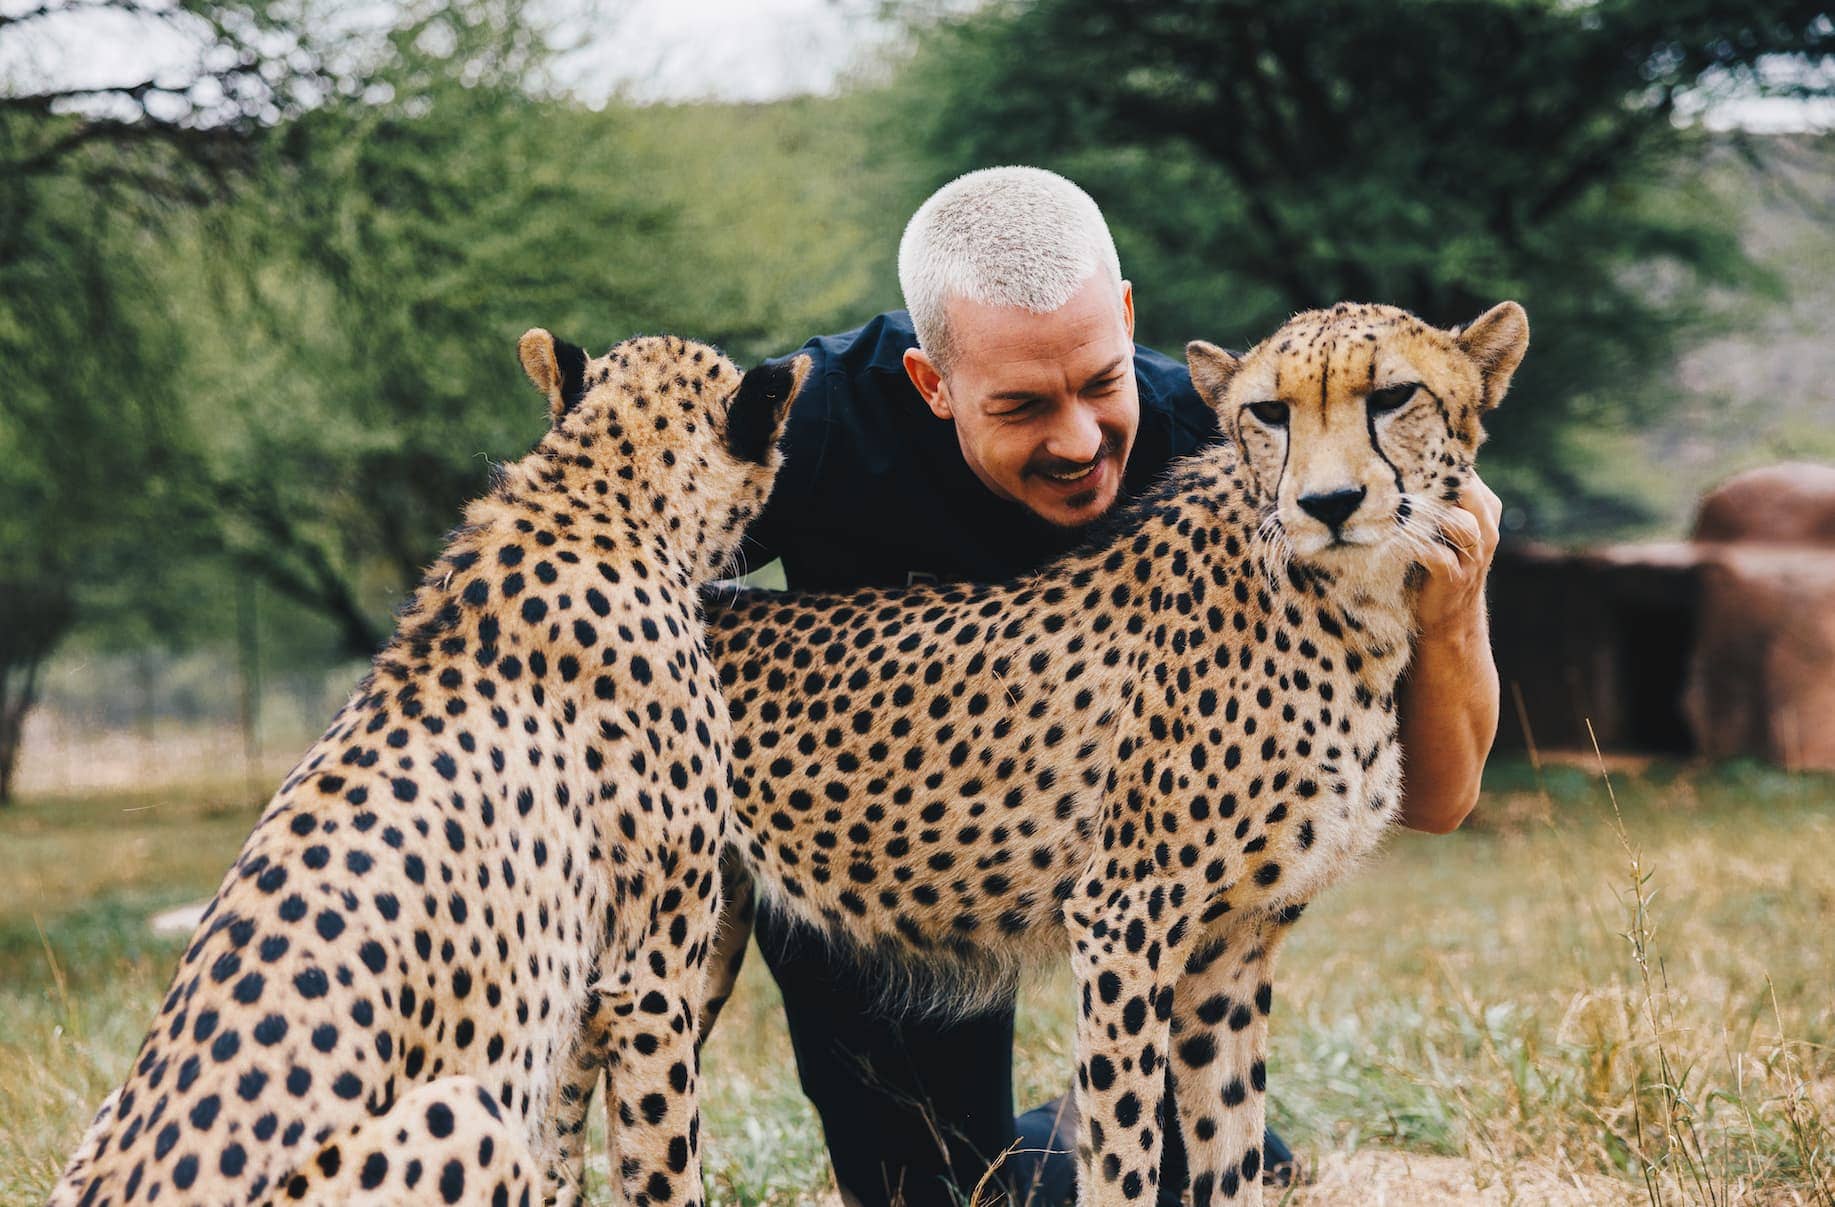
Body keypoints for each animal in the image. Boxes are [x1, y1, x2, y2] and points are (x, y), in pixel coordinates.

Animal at [49, 329, 811, 1207]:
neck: (598, 495)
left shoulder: (579, 983)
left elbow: (561, 1137)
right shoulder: (647, 972)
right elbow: (661, 1157)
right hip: (460, 1109)